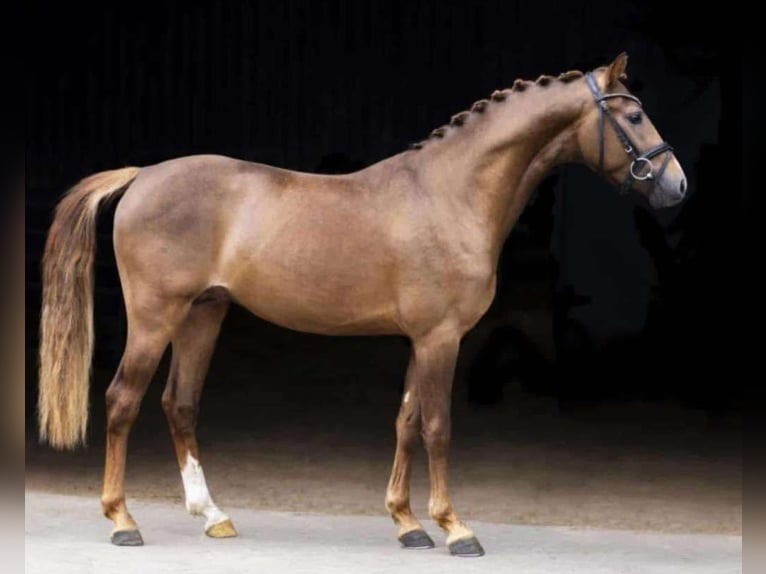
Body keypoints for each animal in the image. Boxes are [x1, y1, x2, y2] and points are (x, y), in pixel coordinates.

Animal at [39, 54, 688, 560]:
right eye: (633, 115)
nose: (677, 185)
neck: (450, 192)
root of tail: (143, 174)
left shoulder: (422, 339)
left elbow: (406, 422)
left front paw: (407, 524)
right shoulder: (441, 338)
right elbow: (437, 426)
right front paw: (456, 528)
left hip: (203, 314)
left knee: (180, 404)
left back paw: (213, 516)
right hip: (156, 318)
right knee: (122, 400)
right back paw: (123, 522)